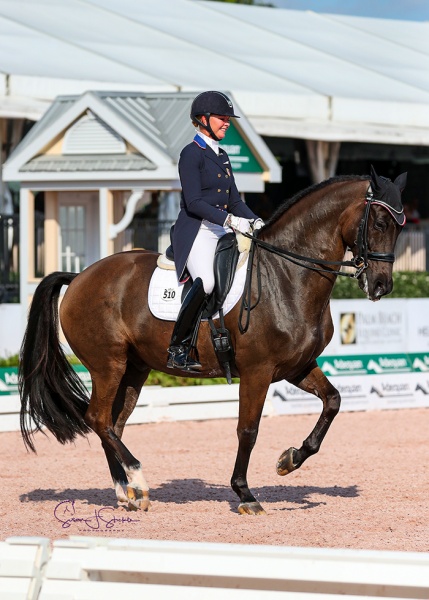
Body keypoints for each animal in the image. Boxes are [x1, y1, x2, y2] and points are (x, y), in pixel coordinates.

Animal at [19, 168, 404, 516]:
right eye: (379, 223)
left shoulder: (296, 367)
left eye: (399, 226)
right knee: (97, 418)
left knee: (111, 424)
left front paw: (289, 459)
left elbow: (333, 402)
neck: (286, 275)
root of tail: (79, 277)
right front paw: (245, 493)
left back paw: (127, 493)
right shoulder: (257, 371)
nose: (381, 286)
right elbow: (248, 430)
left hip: (133, 369)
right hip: (106, 365)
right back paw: (138, 480)